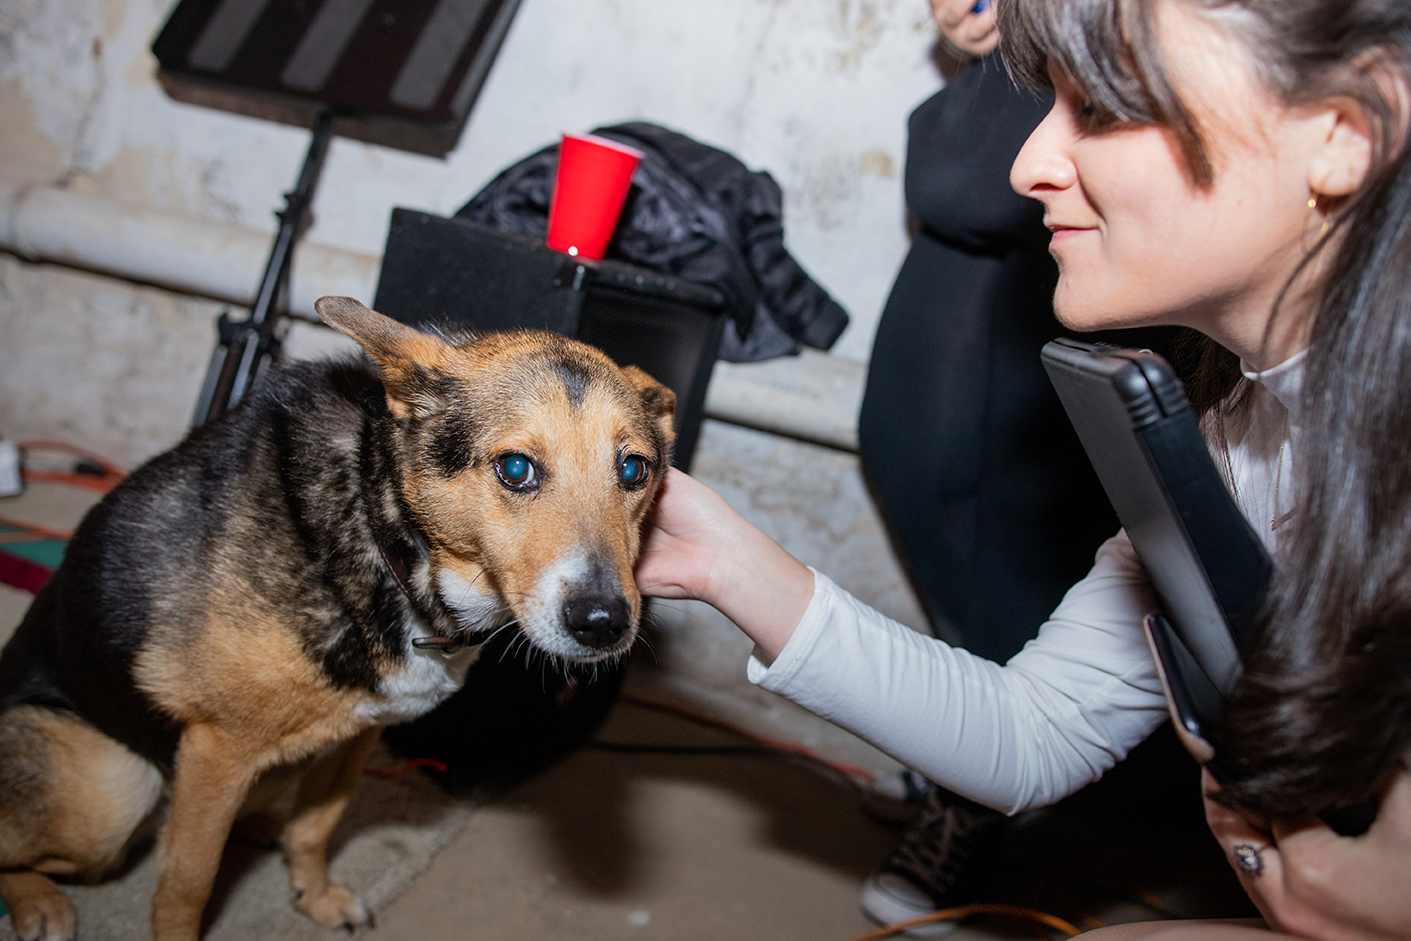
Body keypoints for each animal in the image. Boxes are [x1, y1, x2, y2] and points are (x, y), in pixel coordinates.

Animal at [0, 296, 675, 941]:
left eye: (633, 470)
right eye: (515, 469)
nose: (603, 622)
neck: (386, 533)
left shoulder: (360, 732)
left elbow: (317, 827)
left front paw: (315, 897)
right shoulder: (217, 748)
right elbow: (187, 887)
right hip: (114, 790)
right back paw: (40, 902)